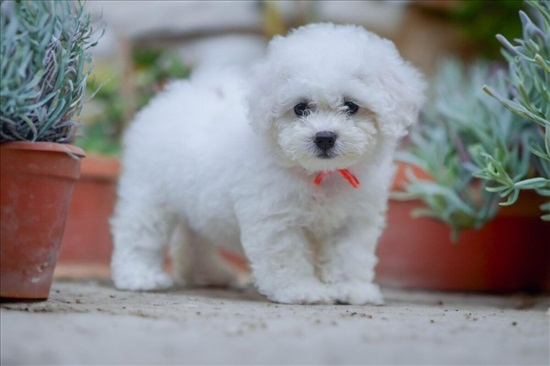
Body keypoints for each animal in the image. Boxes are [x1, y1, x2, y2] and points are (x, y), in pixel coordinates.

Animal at [111, 22, 426, 304]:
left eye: (351, 106)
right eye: (300, 108)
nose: (324, 137)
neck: (320, 174)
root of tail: (177, 93)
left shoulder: (354, 219)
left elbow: (350, 255)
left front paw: (352, 289)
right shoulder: (276, 218)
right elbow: (288, 256)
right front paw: (302, 290)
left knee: (194, 238)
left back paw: (211, 274)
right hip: (149, 193)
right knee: (138, 233)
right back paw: (139, 276)